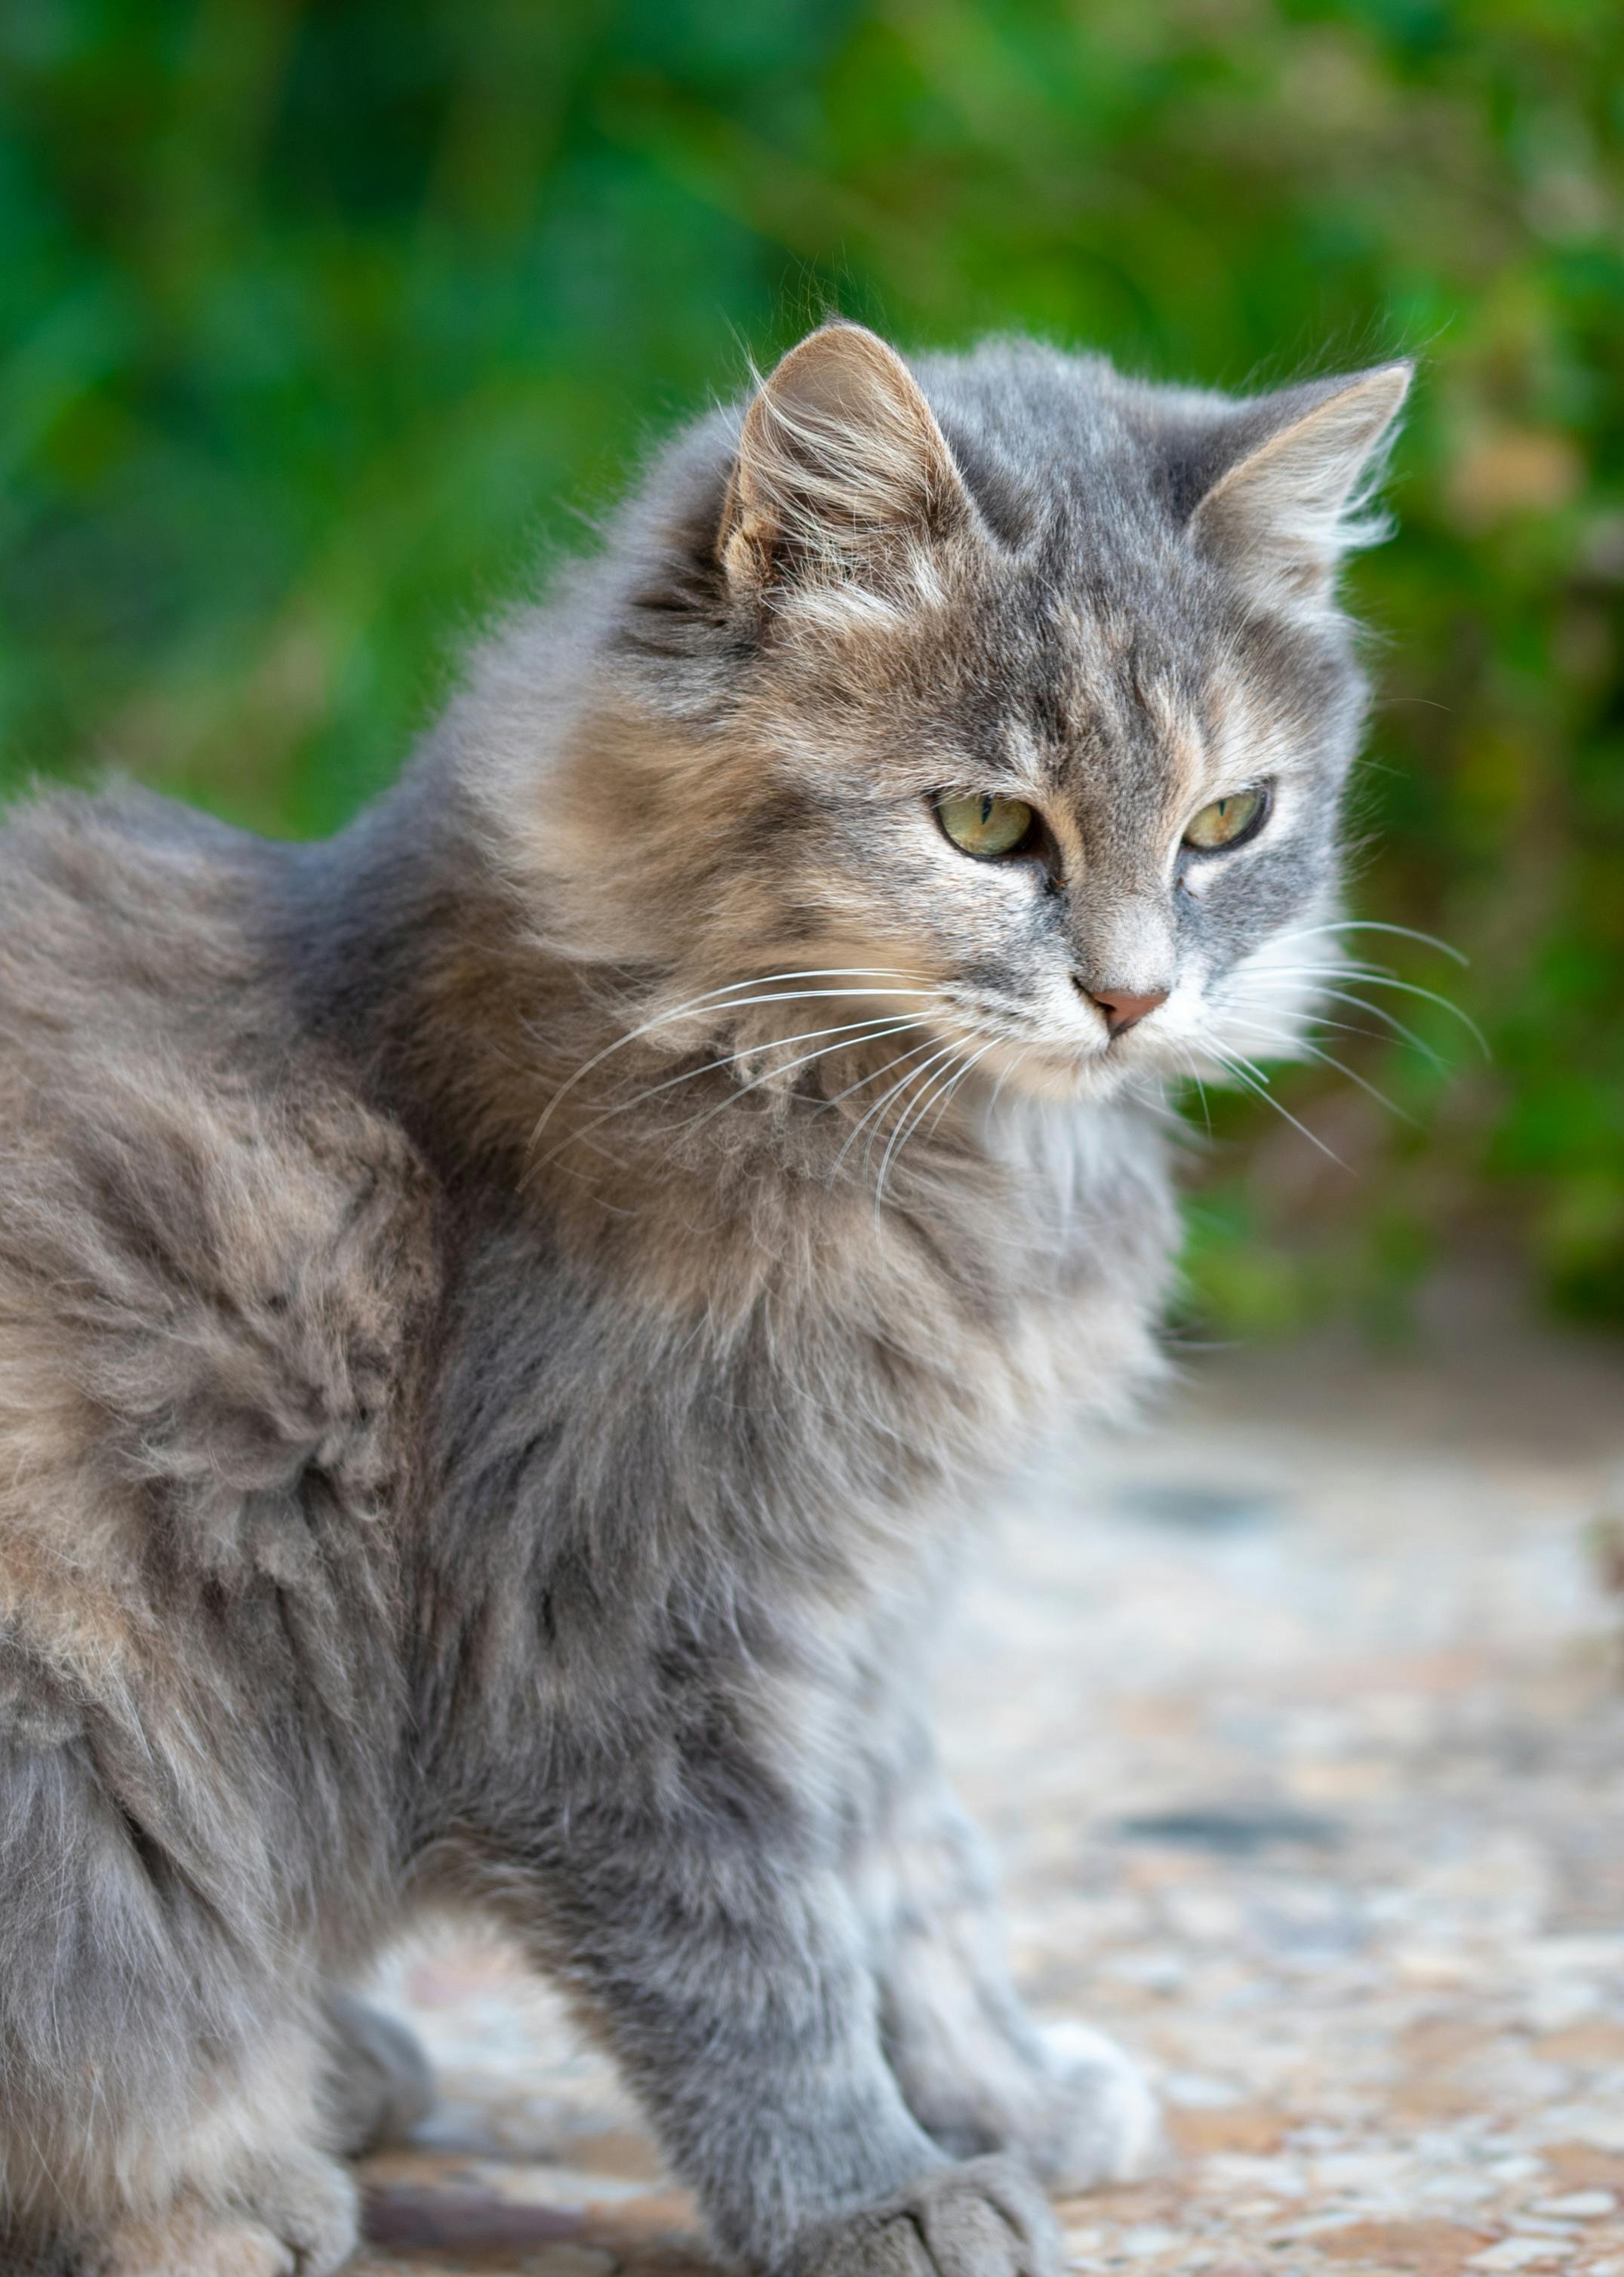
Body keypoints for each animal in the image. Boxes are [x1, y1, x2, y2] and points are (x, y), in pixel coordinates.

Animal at [0, 325, 1403, 2277]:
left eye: (1226, 821)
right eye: (985, 824)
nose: (1129, 997)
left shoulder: (856, 1608)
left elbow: (912, 1873)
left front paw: (1006, 2090)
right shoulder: (604, 1627)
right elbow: (758, 1958)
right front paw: (873, 2193)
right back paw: (219, 2186)